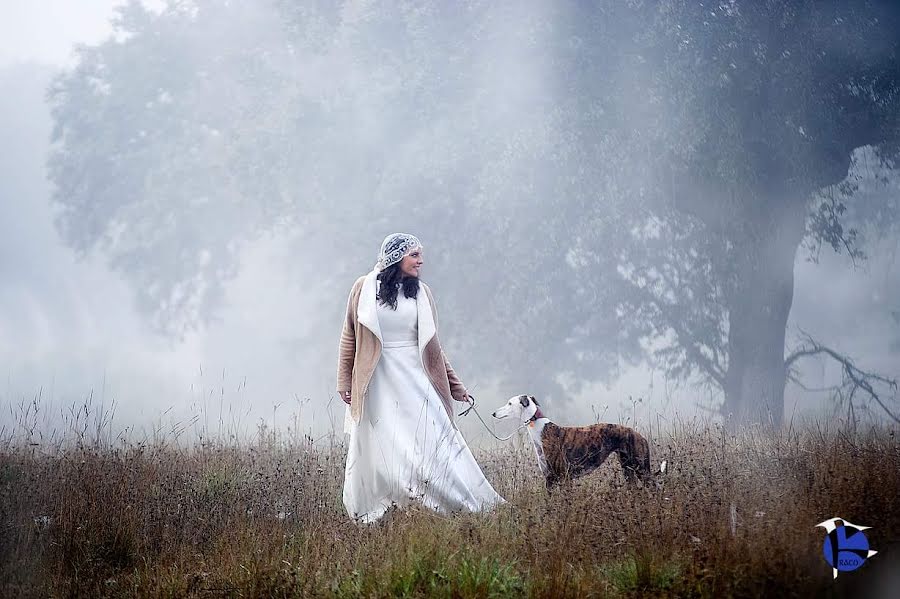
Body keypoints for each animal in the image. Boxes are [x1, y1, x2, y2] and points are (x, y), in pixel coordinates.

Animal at [488, 396, 664, 490]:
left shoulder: (564, 479)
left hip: (641, 468)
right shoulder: (549, 479)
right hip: (628, 469)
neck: (539, 429)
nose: (493, 413)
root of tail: (640, 436)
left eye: (509, 403)